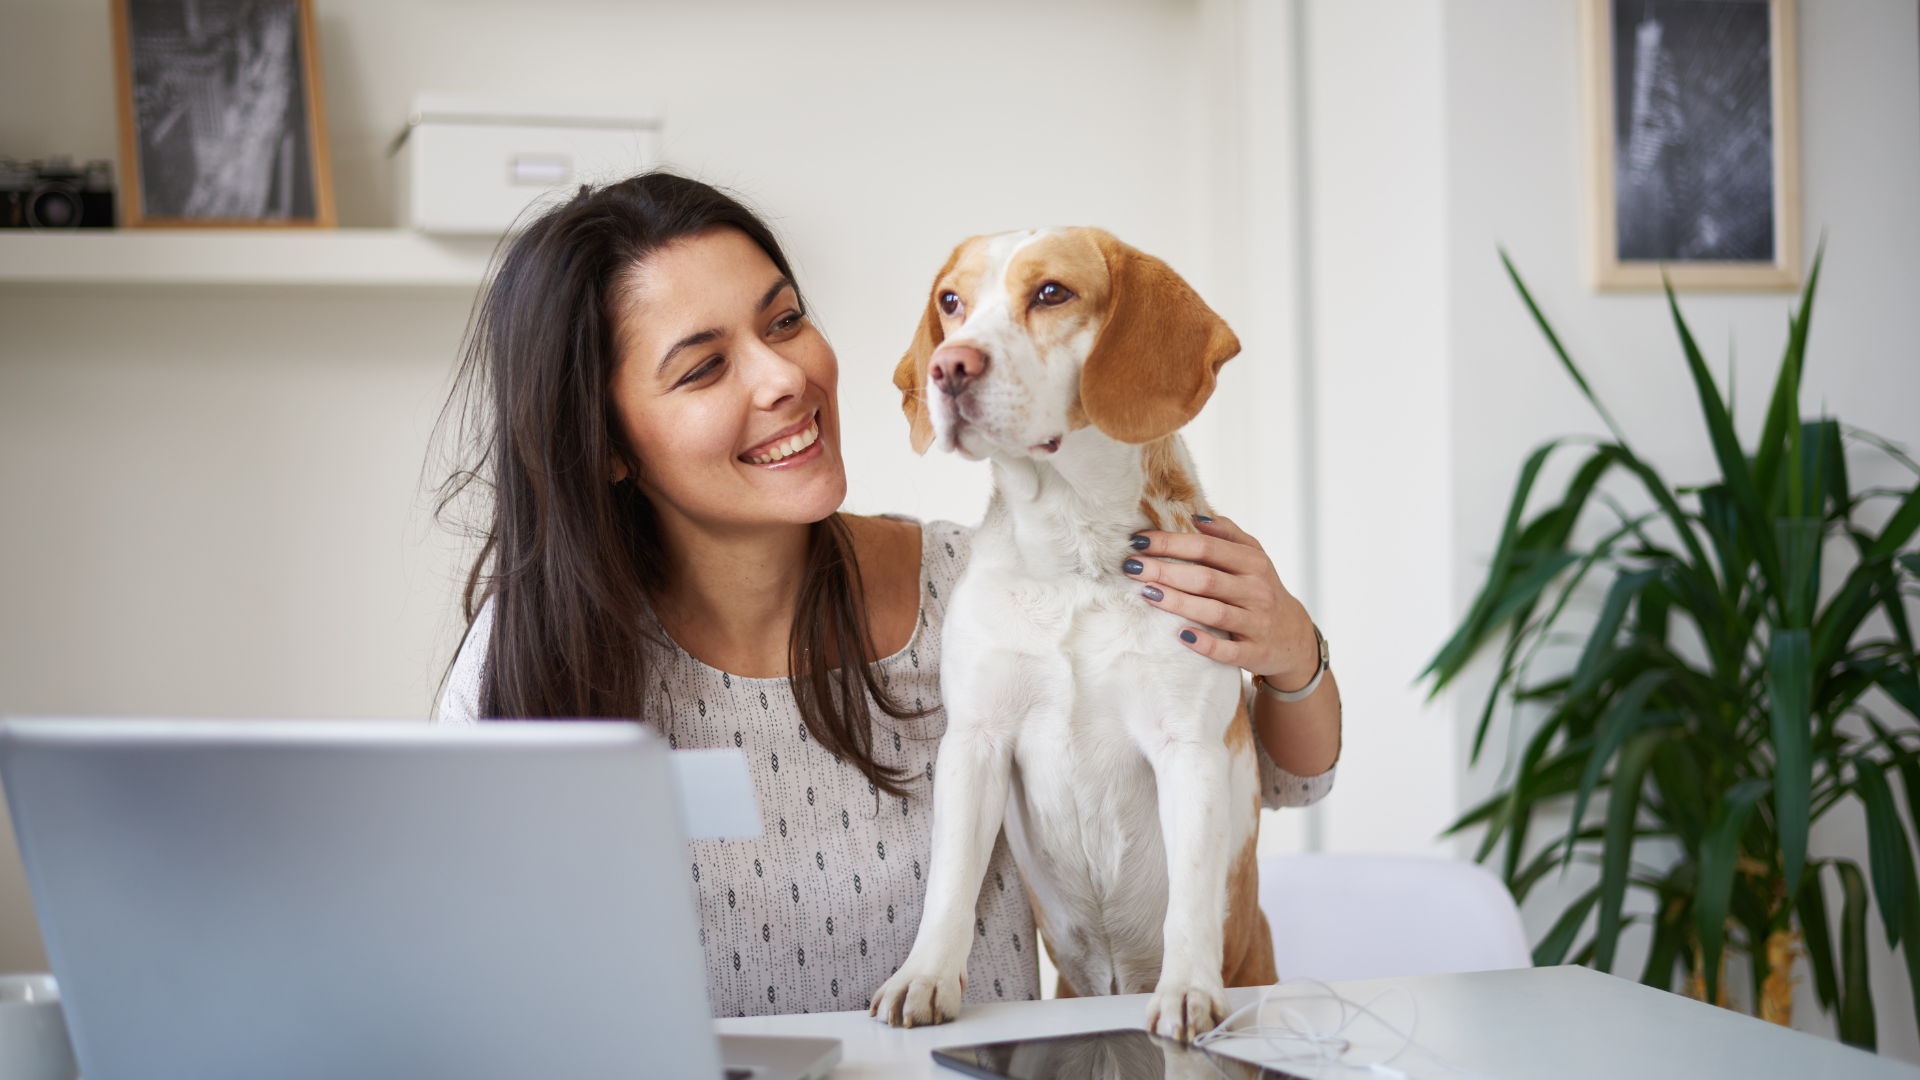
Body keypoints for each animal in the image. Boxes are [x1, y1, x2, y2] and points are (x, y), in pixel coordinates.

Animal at [875, 228, 1274, 1045]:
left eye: (1051, 293)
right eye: (951, 302)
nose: (947, 366)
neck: (1074, 556)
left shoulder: (1187, 746)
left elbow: (1192, 894)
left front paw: (1189, 990)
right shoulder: (976, 741)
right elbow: (950, 883)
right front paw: (924, 978)